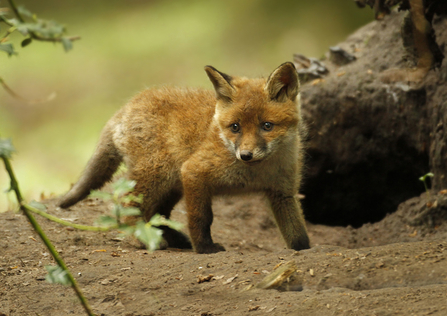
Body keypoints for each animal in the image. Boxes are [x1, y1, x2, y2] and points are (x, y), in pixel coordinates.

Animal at [58, 62, 312, 254]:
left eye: (267, 126)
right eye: (235, 127)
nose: (246, 155)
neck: (257, 171)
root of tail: (127, 105)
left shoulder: (282, 193)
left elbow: (298, 233)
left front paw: (304, 250)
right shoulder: (194, 171)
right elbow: (201, 217)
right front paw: (204, 248)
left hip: (171, 186)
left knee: (157, 215)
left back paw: (172, 239)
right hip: (158, 176)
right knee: (127, 207)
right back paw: (144, 239)